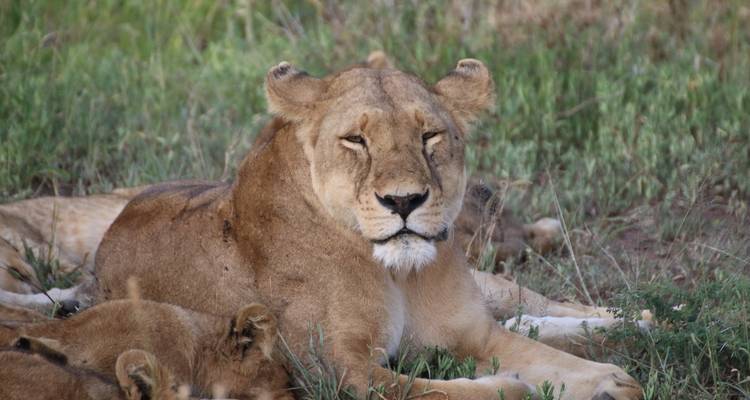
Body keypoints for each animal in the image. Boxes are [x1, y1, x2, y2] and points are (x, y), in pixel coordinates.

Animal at [93, 59, 642, 399]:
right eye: (356, 140)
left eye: (430, 135)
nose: (403, 200)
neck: (396, 274)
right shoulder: (334, 371)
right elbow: (428, 391)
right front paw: (514, 387)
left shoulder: (472, 334)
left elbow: (551, 360)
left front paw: (611, 382)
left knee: (532, 306)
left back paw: (637, 320)